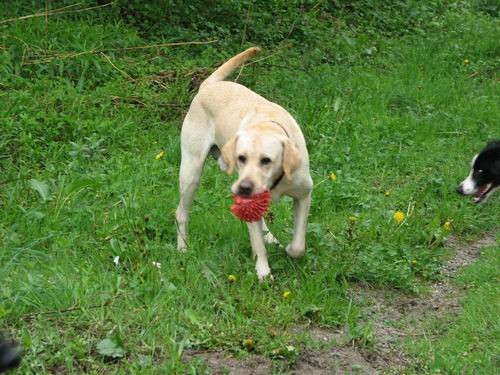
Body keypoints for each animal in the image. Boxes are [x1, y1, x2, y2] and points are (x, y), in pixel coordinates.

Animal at [174, 47, 310, 280]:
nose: (244, 187)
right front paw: (263, 272)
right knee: (181, 212)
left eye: (266, 160)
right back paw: (182, 247)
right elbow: (257, 245)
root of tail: (208, 85)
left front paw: (288, 249)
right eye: (241, 158)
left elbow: (298, 245)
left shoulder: (304, 194)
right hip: (191, 172)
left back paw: (270, 236)